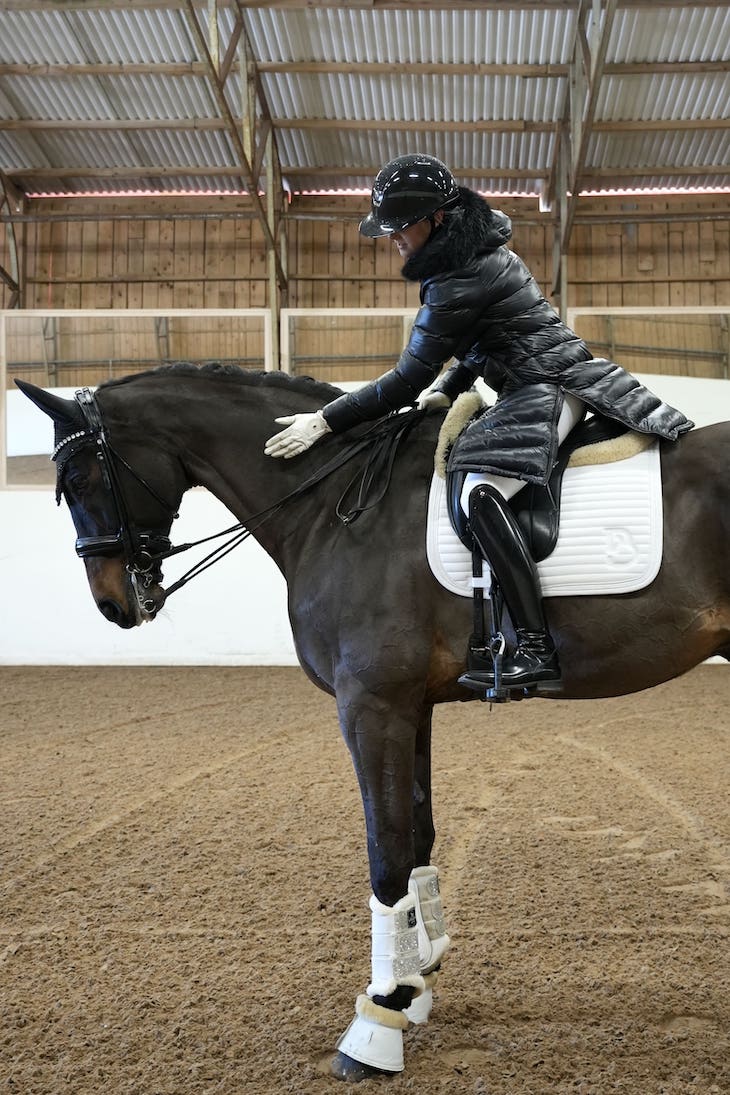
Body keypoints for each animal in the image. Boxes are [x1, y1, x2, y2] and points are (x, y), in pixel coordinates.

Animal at [15, 365, 730, 1077]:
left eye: (79, 479)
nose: (114, 604)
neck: (333, 506)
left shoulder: (370, 704)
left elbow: (385, 854)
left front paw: (377, 1020)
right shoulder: (411, 706)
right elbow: (417, 838)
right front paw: (414, 984)